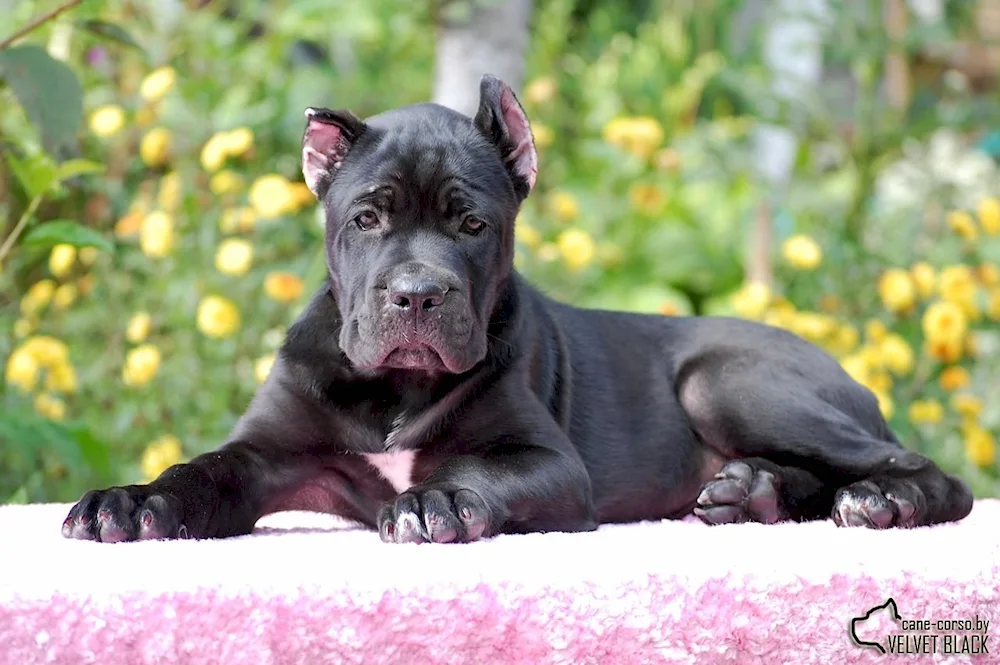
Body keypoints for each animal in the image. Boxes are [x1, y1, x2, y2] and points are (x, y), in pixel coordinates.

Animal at [60, 75, 968, 544]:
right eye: (366, 219)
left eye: (472, 223)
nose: (417, 293)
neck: (396, 389)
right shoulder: (267, 450)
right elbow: (199, 471)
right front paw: (128, 501)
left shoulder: (548, 463)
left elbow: (475, 470)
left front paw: (430, 501)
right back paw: (753, 493)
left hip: (728, 379)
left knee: (926, 471)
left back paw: (881, 502)